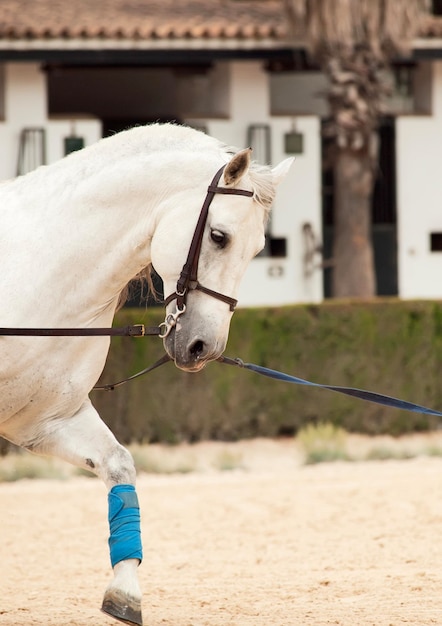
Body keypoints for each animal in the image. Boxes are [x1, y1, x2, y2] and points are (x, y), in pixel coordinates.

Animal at [0, 123, 294, 624]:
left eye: (258, 249)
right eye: (219, 236)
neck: (37, 268)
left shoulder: (45, 420)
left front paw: (125, 593)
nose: (204, 348)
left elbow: (119, 467)